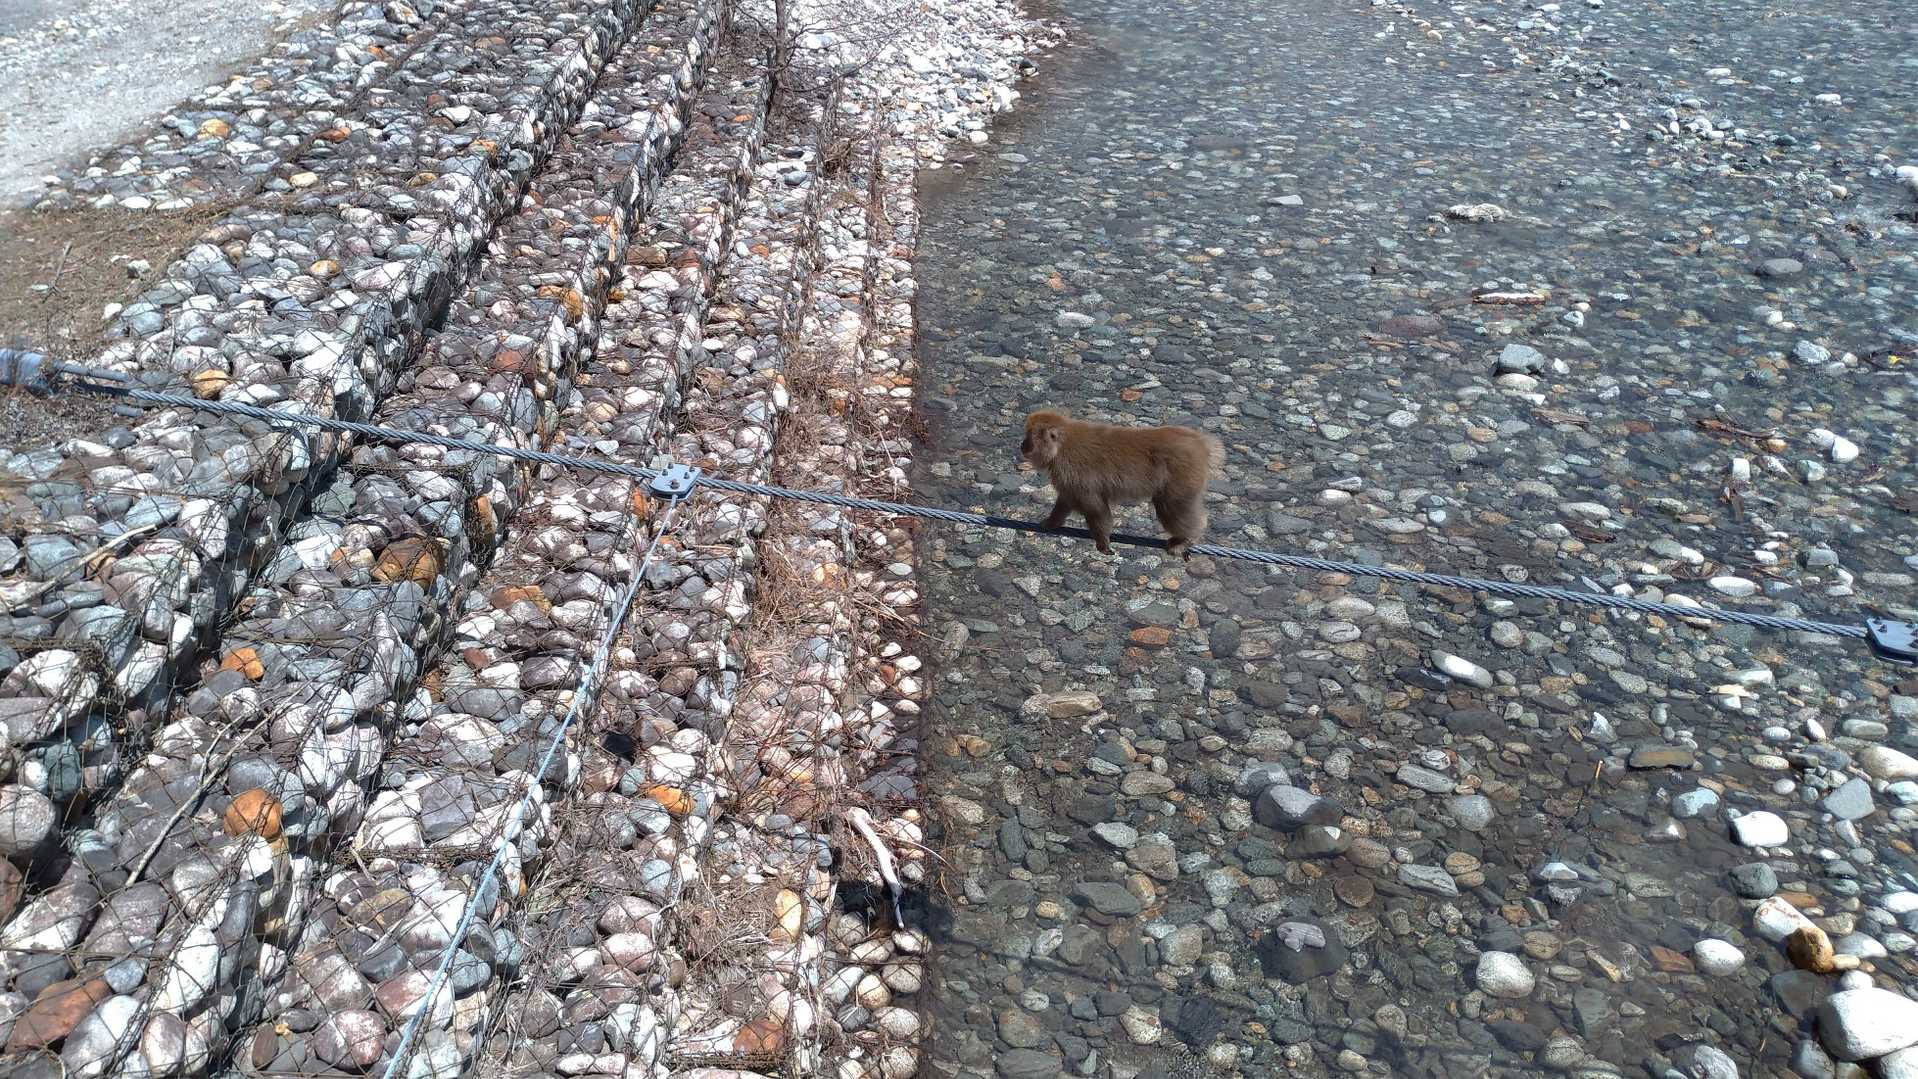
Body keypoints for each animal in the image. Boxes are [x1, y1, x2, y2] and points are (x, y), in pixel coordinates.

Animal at [1019, 409, 1225, 560]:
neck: (1061, 446)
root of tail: (1202, 444)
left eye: (1029, 437)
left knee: (1171, 505)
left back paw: (1187, 537)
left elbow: (1095, 509)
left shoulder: (1074, 472)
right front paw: (1051, 522)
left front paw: (1103, 542)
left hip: (1183, 476)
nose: (1022, 445)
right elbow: (1066, 500)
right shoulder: (1068, 479)